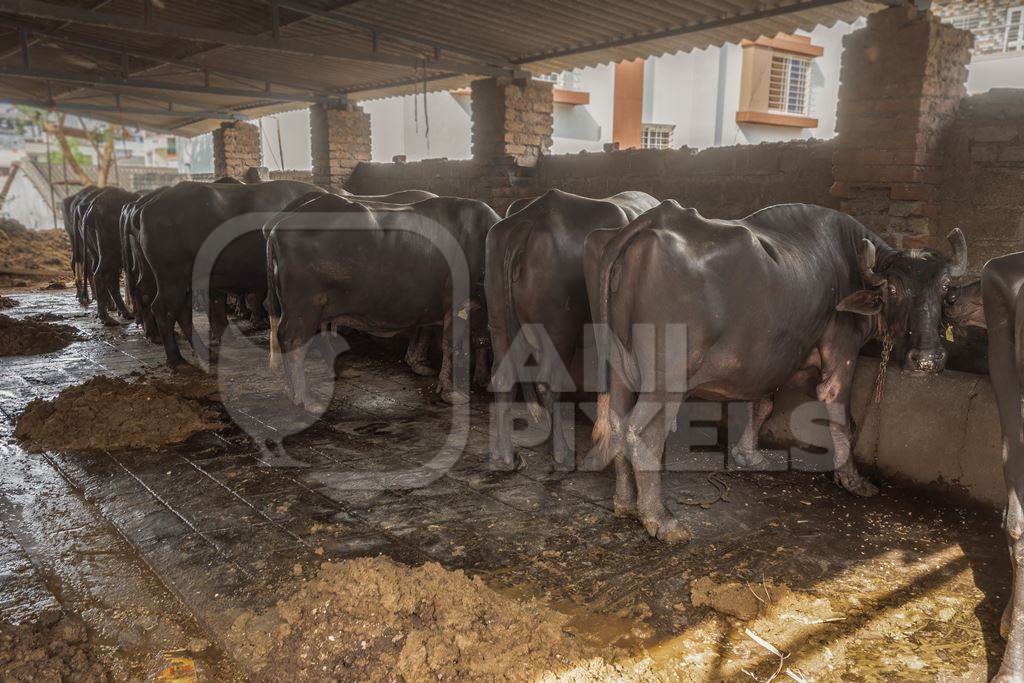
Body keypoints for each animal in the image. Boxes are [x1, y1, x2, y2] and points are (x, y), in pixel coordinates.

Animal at [268, 189, 499, 409]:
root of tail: (277, 226)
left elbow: (474, 337)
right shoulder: (457, 304)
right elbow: (453, 346)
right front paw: (451, 391)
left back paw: (301, 387)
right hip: (305, 307)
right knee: (293, 341)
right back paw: (306, 398)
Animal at [483, 188, 659, 471]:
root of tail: (527, 224)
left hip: (501, 320)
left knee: (503, 377)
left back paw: (504, 455)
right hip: (559, 330)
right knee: (549, 383)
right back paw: (562, 454)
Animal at [589, 200, 962, 540]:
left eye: (945, 289)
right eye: (895, 289)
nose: (927, 359)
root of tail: (649, 220)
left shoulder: (769, 358)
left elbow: (763, 404)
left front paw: (747, 456)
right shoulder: (842, 351)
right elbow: (840, 412)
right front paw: (853, 479)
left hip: (618, 370)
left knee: (617, 424)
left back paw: (625, 504)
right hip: (666, 380)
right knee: (642, 433)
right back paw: (660, 520)